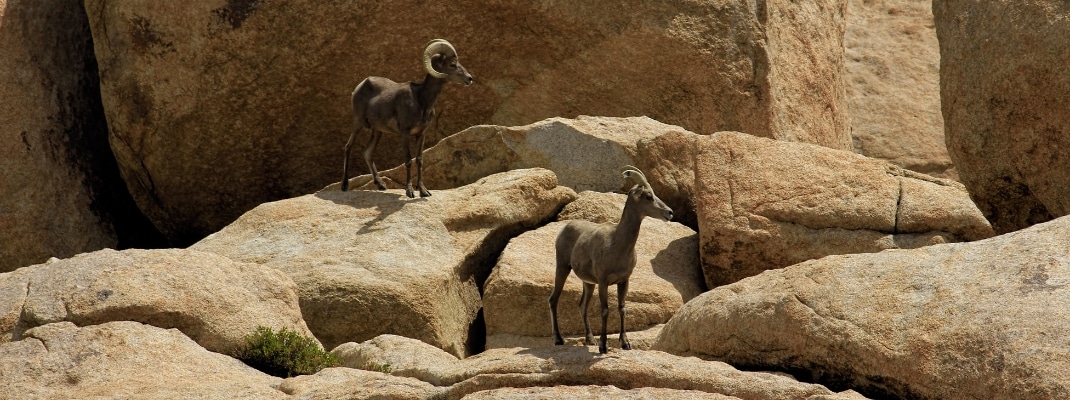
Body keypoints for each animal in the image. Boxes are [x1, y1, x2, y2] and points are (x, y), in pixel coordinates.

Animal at [338, 38, 472, 197]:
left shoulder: (421, 134)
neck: (421, 100)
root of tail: (360, 85)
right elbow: (408, 160)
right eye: (452, 64)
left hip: (377, 131)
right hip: (358, 123)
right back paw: (344, 185)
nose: (469, 79)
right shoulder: (405, 133)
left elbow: (419, 160)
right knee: (348, 147)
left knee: (367, 153)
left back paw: (381, 185)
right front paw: (410, 191)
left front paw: (424, 191)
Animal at [547, 165, 671, 352]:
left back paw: (590, 339)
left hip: (588, 283)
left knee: (582, 305)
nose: (669, 213)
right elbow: (605, 310)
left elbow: (622, 308)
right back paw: (558, 340)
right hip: (562, 268)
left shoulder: (624, 280)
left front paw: (625, 344)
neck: (617, 243)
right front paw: (603, 346)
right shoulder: (603, 281)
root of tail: (563, 229)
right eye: (648, 196)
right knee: (554, 300)